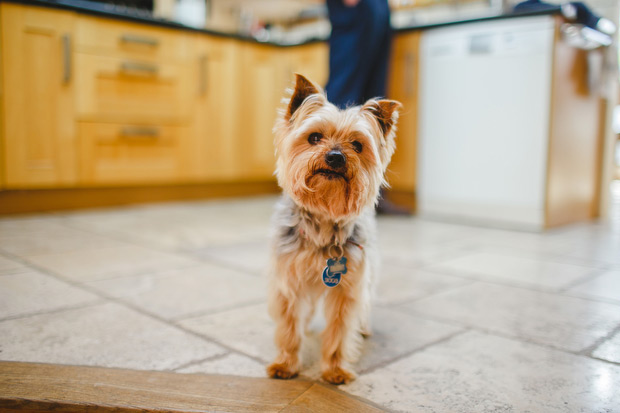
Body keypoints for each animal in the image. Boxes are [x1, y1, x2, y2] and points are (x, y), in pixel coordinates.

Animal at [266, 73, 402, 384]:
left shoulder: (347, 287)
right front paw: (286, 364)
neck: (323, 221)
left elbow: (339, 331)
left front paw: (335, 370)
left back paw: (364, 328)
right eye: (314, 137)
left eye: (358, 145)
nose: (336, 157)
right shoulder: (289, 279)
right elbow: (289, 326)